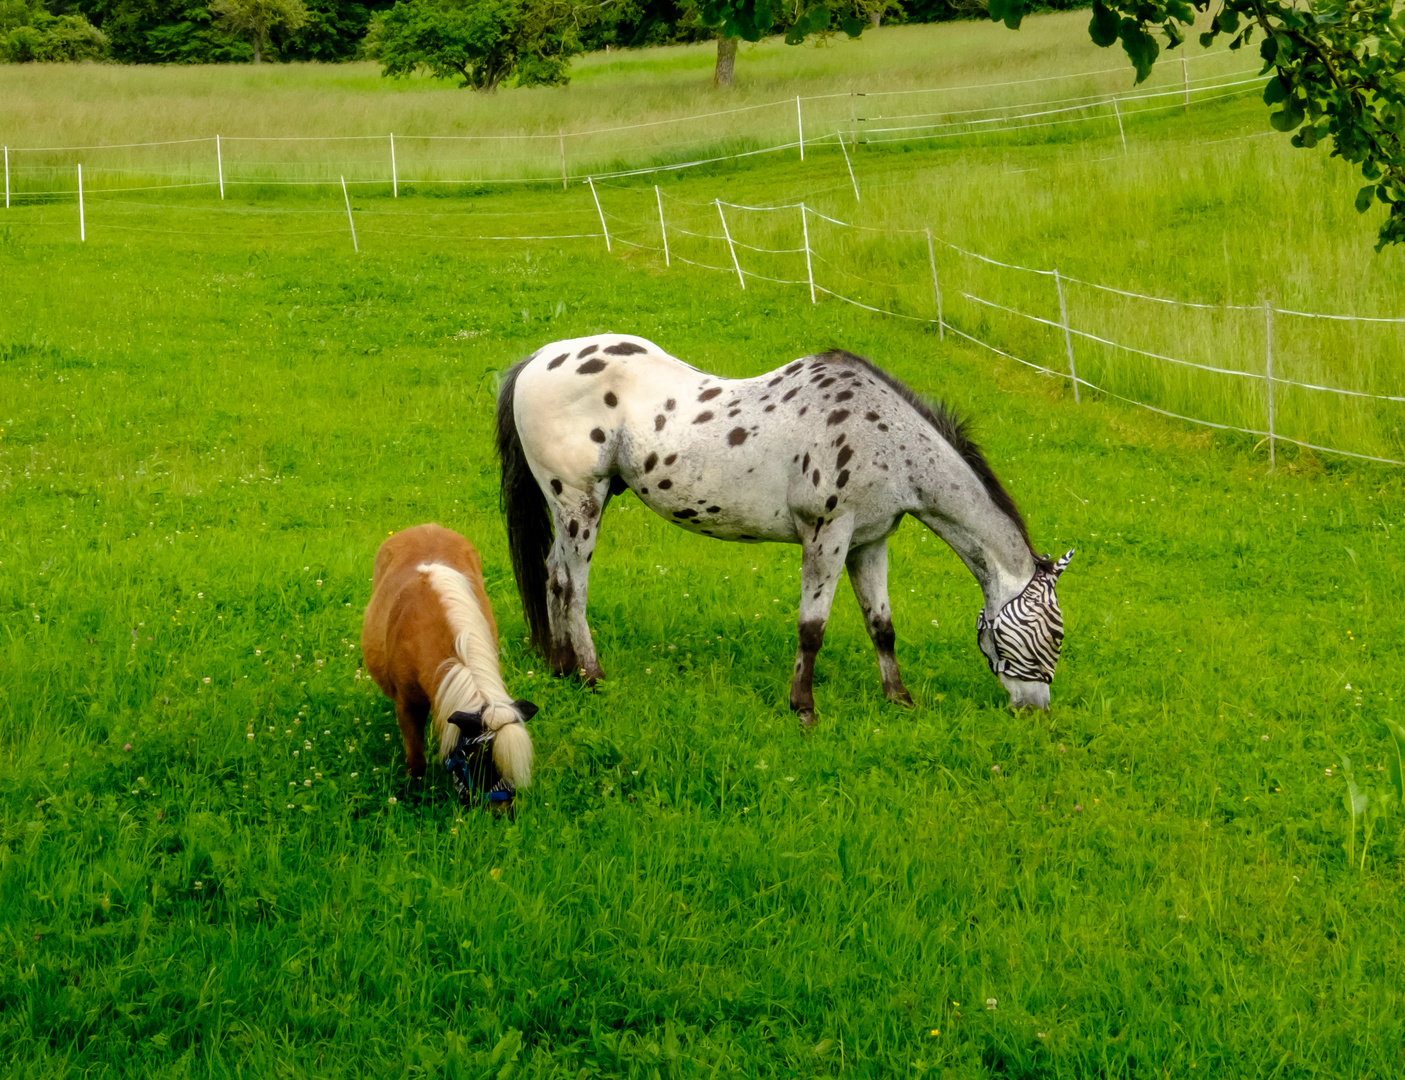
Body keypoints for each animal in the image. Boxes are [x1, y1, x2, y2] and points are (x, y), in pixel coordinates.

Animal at [497, 334, 1073, 724]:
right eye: (1054, 632)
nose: (1036, 710)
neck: (885, 435)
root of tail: (537, 361)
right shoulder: (827, 535)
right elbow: (811, 629)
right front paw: (804, 708)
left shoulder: (869, 543)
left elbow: (882, 627)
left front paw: (899, 699)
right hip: (580, 503)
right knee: (572, 587)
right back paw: (592, 677)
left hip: (570, 508)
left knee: (552, 576)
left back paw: (562, 668)